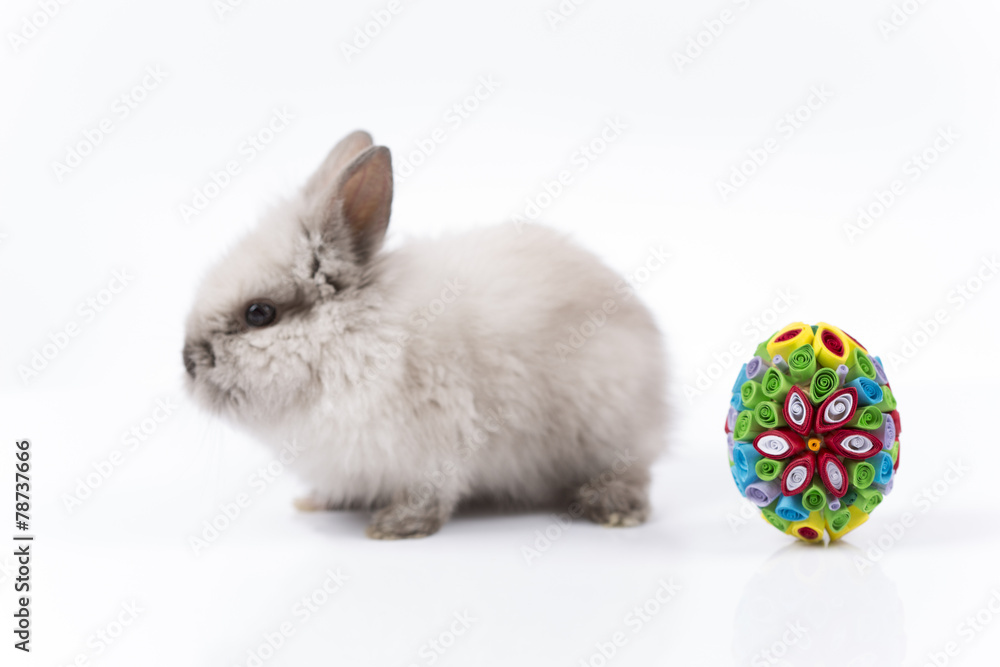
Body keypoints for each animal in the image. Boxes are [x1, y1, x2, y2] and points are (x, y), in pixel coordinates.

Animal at [183, 130, 667, 539]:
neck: (355, 341)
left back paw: (614, 509)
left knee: (633, 471)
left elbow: (430, 495)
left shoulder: (438, 442)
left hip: (608, 427)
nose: (187, 362)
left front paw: (393, 527)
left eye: (259, 313)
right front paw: (318, 502)